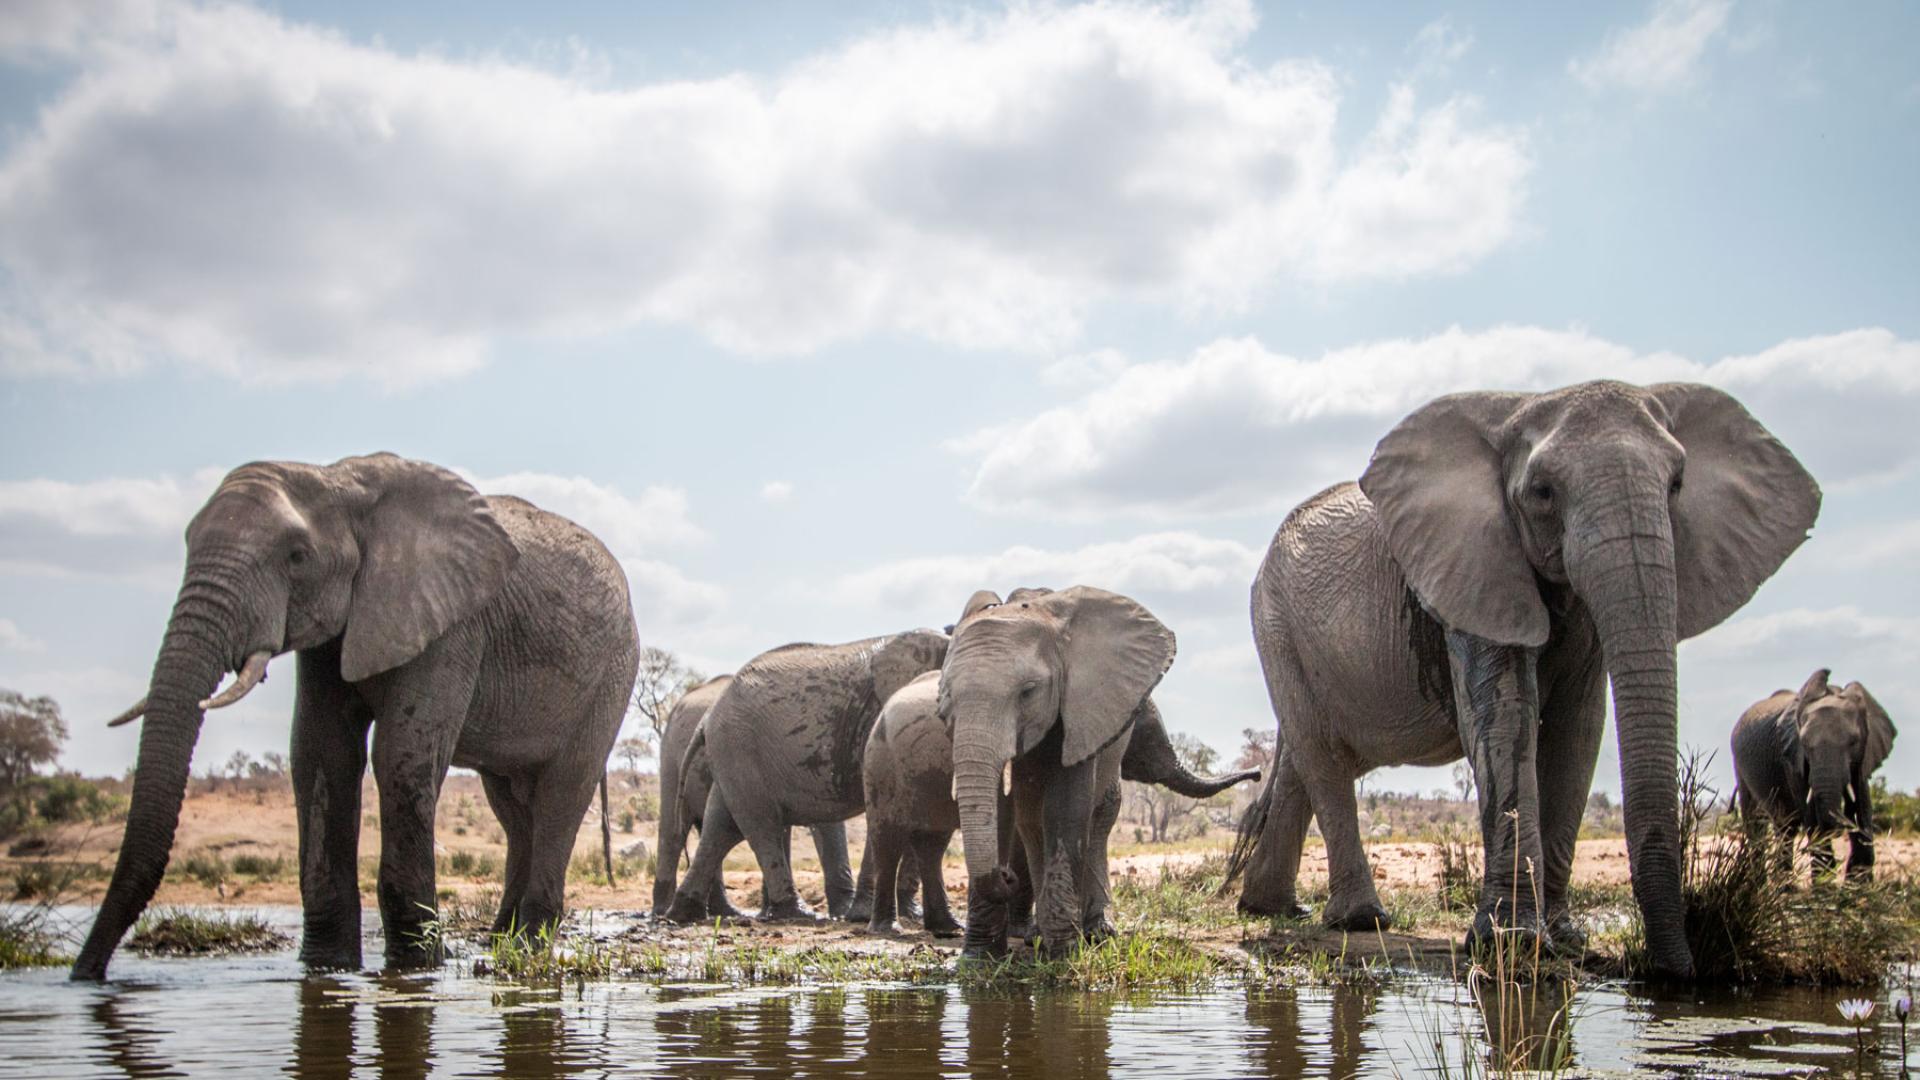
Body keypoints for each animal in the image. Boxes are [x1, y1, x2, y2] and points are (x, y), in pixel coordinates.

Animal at [72, 453, 639, 980]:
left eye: (297, 557)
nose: (86, 973)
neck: (337, 481)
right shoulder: (329, 637)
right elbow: (320, 754)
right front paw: (327, 966)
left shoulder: (453, 626)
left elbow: (400, 756)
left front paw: (416, 968)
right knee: (512, 806)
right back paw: (500, 941)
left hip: (611, 675)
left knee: (562, 793)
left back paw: (526, 946)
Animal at [861, 667, 1259, 937]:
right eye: (1146, 734)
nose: (1256, 773)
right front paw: (1024, 930)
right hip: (881, 765)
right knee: (889, 839)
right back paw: (889, 929)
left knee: (932, 843)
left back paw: (948, 928)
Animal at [941, 585, 1199, 959]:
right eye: (946, 697)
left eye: (1028, 692)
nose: (1005, 877)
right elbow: (1008, 813)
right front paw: (978, 958)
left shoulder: (1083, 709)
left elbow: (1065, 809)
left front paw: (1064, 953)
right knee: (1032, 821)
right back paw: (1038, 935)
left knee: (1098, 816)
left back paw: (1097, 932)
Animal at [1223, 380, 1818, 980]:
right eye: (1542, 492)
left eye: (1677, 483)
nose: (1670, 971)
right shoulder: (1472, 565)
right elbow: (1505, 717)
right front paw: (1513, 944)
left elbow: (1578, 729)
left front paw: (1565, 939)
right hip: (1275, 626)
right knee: (1322, 755)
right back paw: (1361, 920)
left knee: (1303, 762)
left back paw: (1274, 908)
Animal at [1732, 668, 1896, 879]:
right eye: (1805, 745)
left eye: (1854, 742)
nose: (1841, 824)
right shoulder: (1792, 759)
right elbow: (1812, 820)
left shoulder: (1864, 757)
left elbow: (1862, 809)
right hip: (1740, 768)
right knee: (1757, 825)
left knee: (1786, 828)